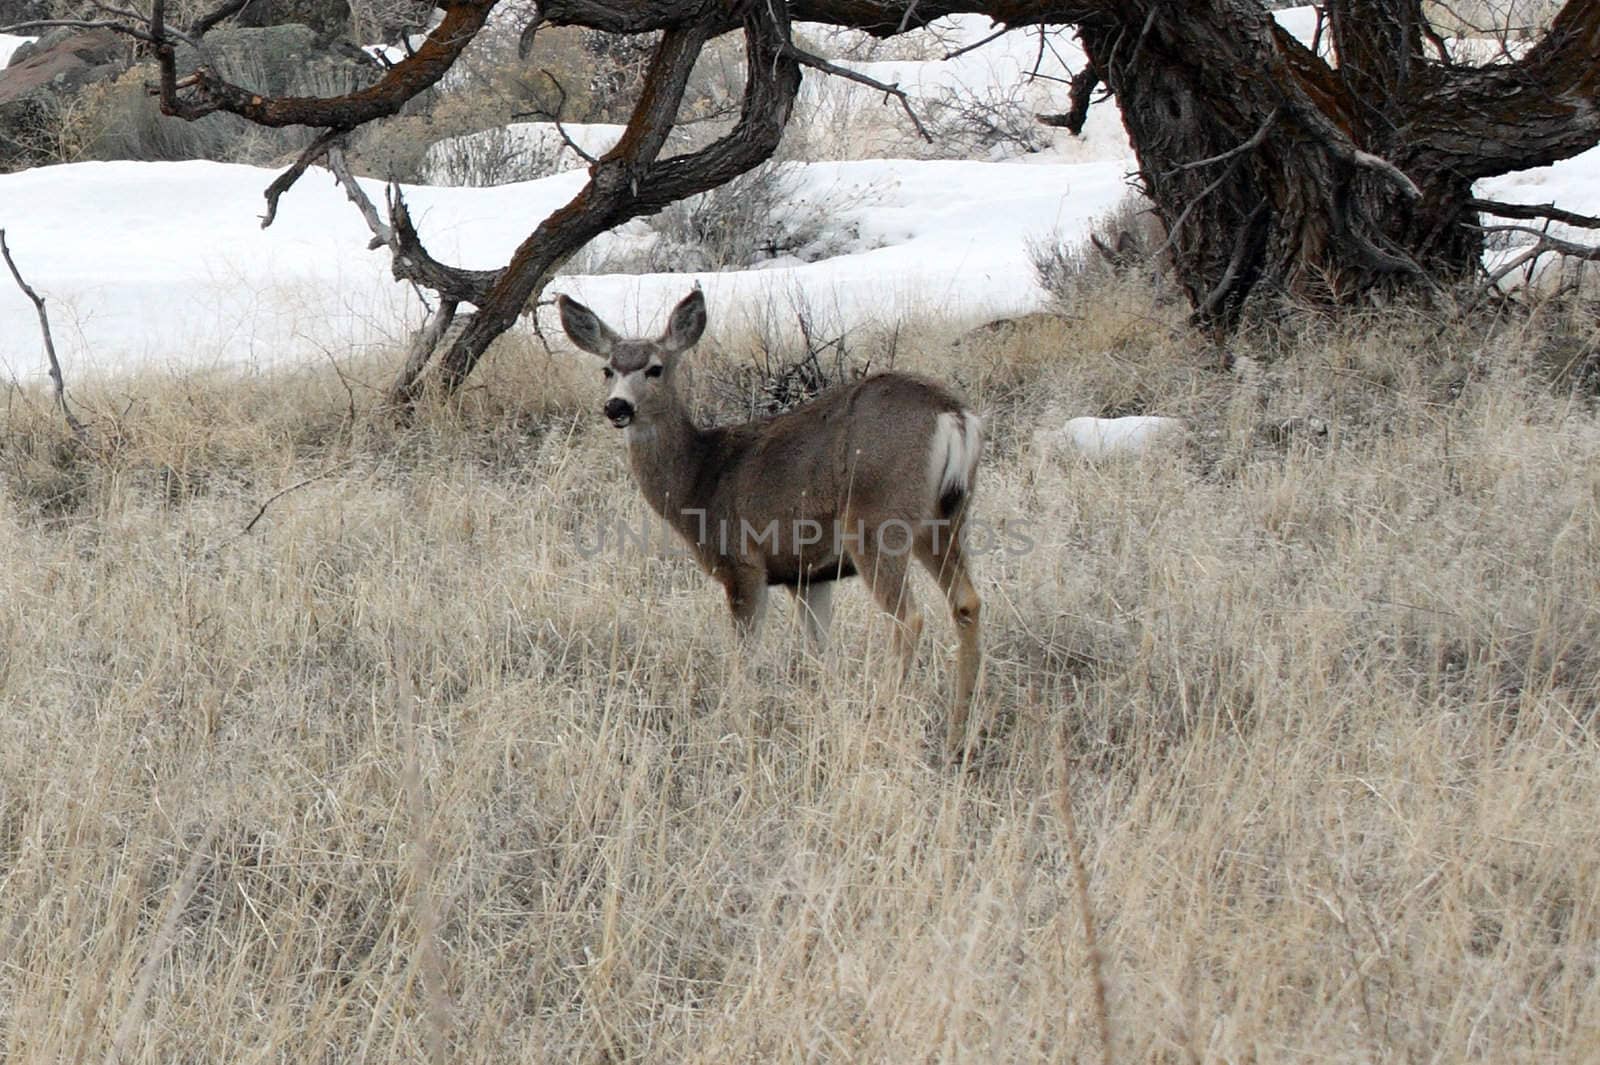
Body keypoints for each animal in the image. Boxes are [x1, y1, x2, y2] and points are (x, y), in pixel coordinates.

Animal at [563, 291, 985, 754]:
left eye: (654, 368)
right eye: (607, 369)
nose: (617, 406)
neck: (701, 480)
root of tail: (953, 415)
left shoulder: (742, 565)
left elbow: (744, 658)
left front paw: (735, 725)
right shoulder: (808, 575)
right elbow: (820, 655)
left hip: (878, 519)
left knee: (908, 618)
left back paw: (885, 721)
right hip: (946, 517)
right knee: (967, 602)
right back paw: (960, 734)